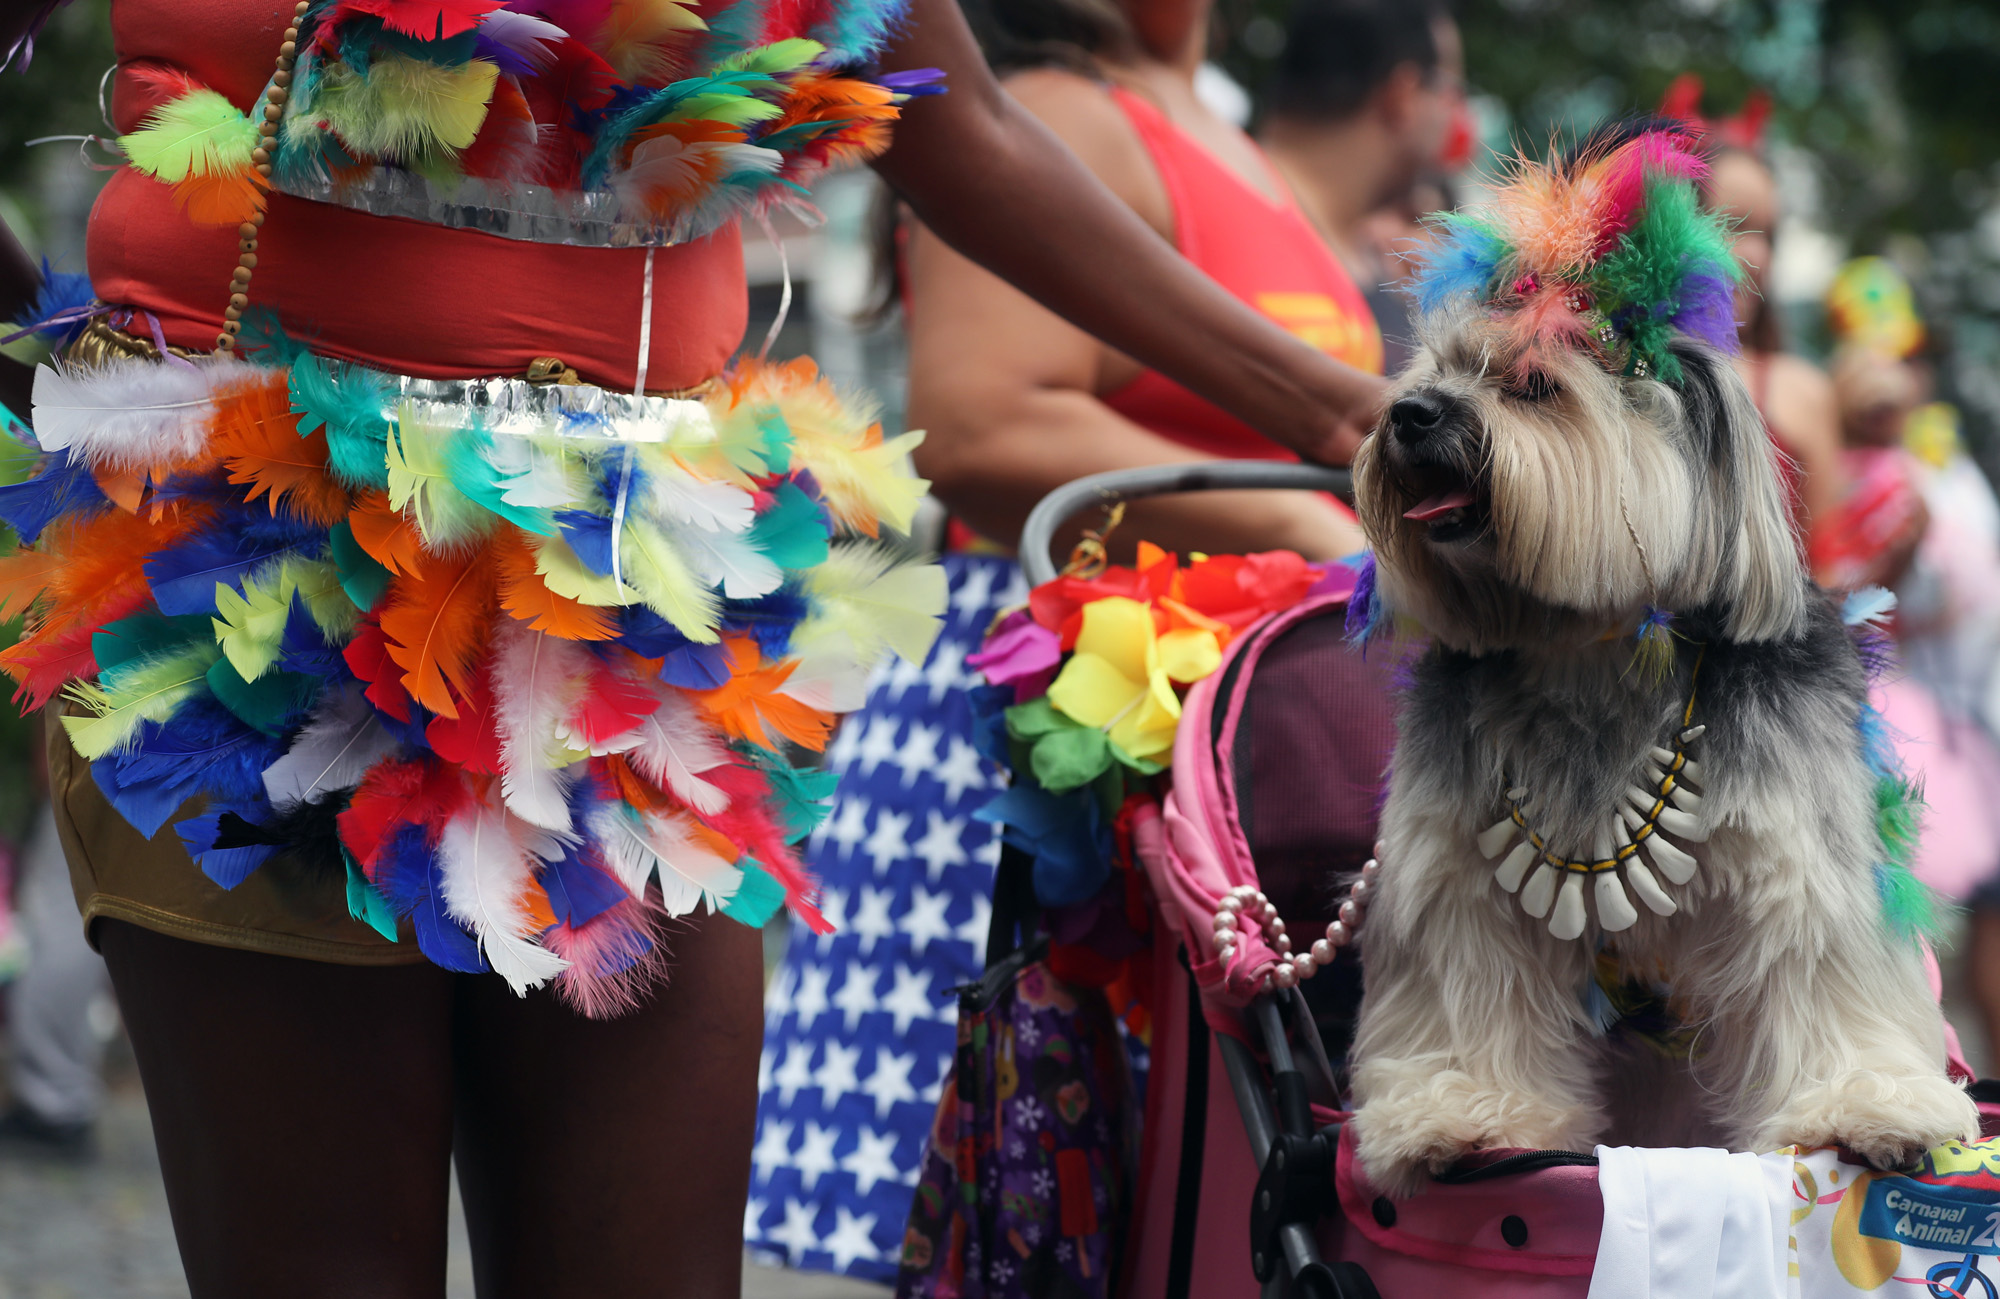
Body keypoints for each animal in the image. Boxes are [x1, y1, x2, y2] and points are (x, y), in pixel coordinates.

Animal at [1344, 128, 1984, 1191]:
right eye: (1431, 369)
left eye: (1532, 384)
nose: (1410, 415)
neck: (1586, 652)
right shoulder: (1455, 878)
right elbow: (1467, 983)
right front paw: (1465, 1113)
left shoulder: (1797, 863)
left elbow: (1822, 970)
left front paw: (1863, 1104)